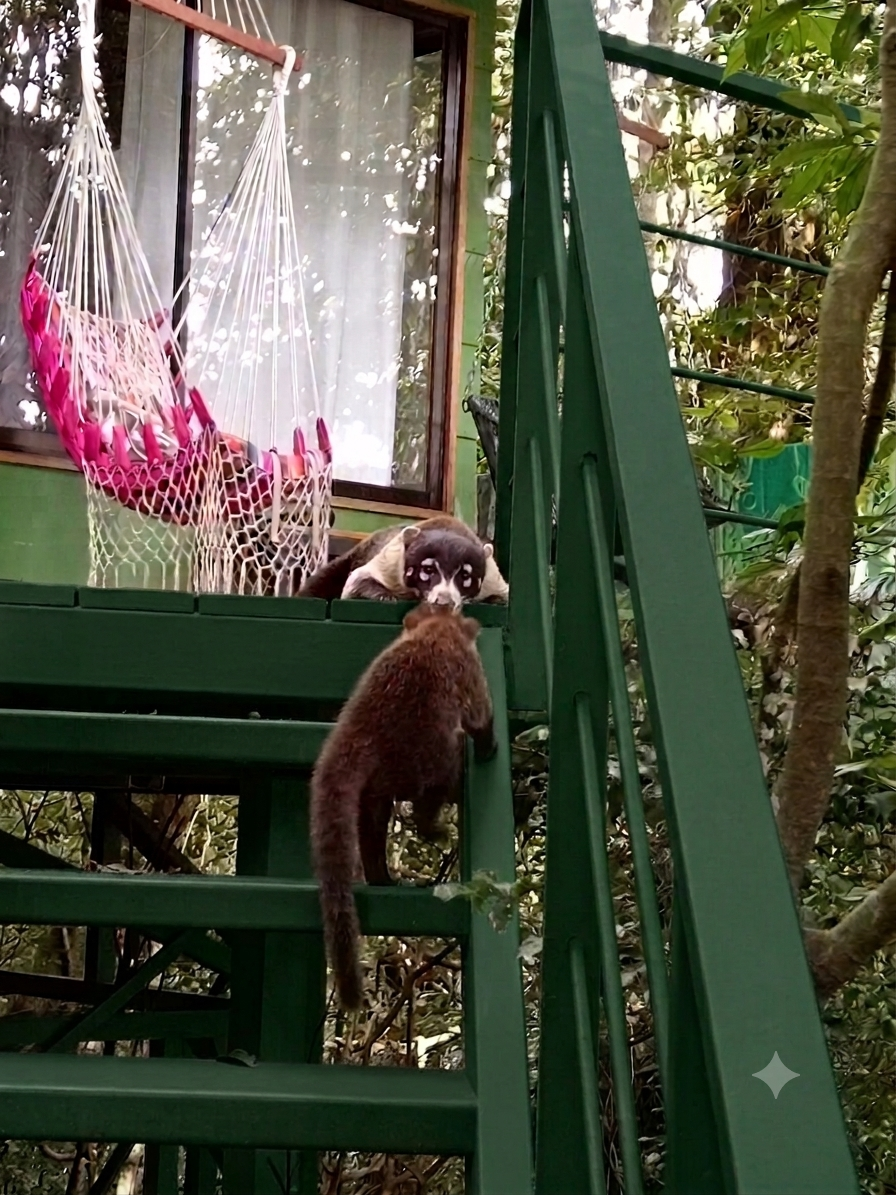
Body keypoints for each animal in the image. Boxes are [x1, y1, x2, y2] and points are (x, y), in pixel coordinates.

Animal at [298, 515, 508, 610]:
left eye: (465, 575)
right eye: (428, 569)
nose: (444, 603)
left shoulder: (492, 576)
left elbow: (504, 594)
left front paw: (495, 599)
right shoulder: (391, 560)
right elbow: (356, 580)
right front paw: (384, 595)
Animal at [310, 603, 497, 1009]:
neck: (435, 629)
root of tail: (356, 731)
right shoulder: (470, 671)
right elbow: (482, 716)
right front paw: (490, 743)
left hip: (379, 779)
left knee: (371, 820)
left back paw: (379, 874)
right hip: (424, 753)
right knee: (439, 778)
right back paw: (432, 824)